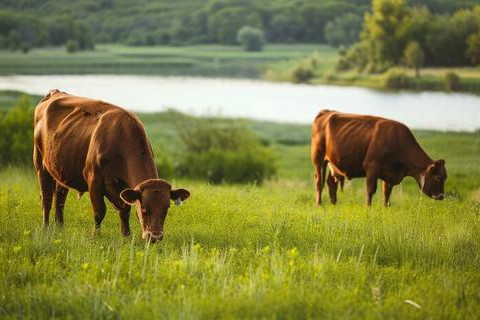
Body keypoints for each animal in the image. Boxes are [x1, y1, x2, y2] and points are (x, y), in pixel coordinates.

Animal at [33, 89, 190, 241]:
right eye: (144, 208)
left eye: (166, 208)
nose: (155, 237)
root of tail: (55, 92)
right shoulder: (94, 180)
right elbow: (99, 211)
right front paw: (95, 236)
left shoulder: (125, 188)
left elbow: (125, 211)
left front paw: (126, 235)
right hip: (41, 163)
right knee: (46, 198)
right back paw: (45, 228)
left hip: (61, 171)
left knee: (59, 199)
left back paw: (60, 228)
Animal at [312, 109, 446, 205]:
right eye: (438, 177)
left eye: (445, 177)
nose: (441, 196)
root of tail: (326, 112)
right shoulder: (372, 168)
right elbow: (371, 190)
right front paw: (368, 208)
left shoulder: (390, 173)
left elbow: (386, 193)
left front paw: (386, 208)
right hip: (318, 159)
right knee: (319, 182)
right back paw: (319, 205)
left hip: (333, 163)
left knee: (331, 182)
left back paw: (333, 203)